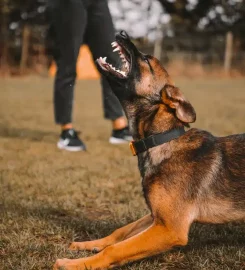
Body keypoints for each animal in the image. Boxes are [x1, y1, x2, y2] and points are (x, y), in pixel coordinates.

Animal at [54, 31, 245, 268]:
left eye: (146, 59)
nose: (122, 33)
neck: (161, 140)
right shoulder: (156, 216)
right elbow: (120, 232)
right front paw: (89, 244)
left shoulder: (170, 227)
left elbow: (115, 250)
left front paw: (74, 264)